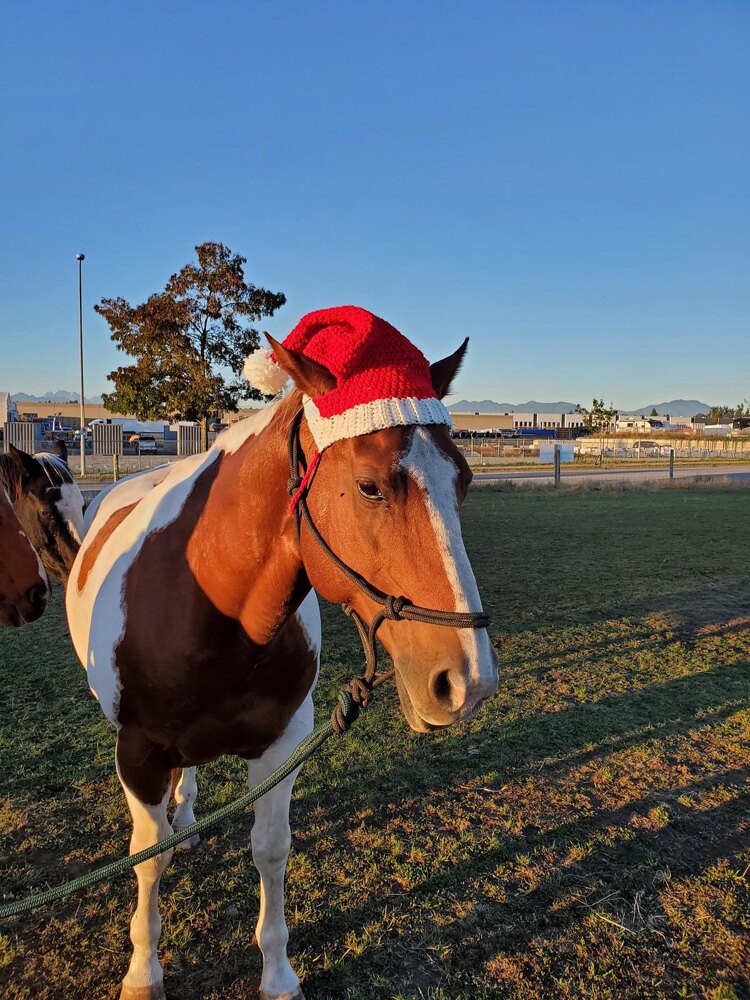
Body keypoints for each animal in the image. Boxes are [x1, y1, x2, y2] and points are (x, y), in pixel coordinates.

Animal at [66, 314, 500, 1000]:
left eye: (464, 481)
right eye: (370, 486)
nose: (469, 681)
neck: (210, 608)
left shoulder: (281, 743)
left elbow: (270, 849)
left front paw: (277, 971)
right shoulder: (138, 752)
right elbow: (148, 858)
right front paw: (142, 971)